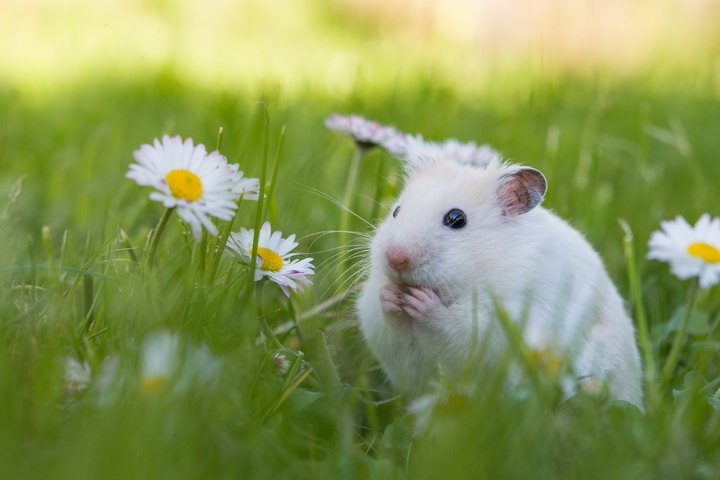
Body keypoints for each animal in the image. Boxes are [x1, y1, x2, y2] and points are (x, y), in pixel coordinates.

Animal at [357, 155, 643, 407]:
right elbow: (389, 326)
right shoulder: (387, 339)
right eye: (396, 211)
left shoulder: (501, 325)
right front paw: (390, 296)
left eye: (456, 219)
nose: (395, 257)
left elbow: (458, 330)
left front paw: (422, 302)